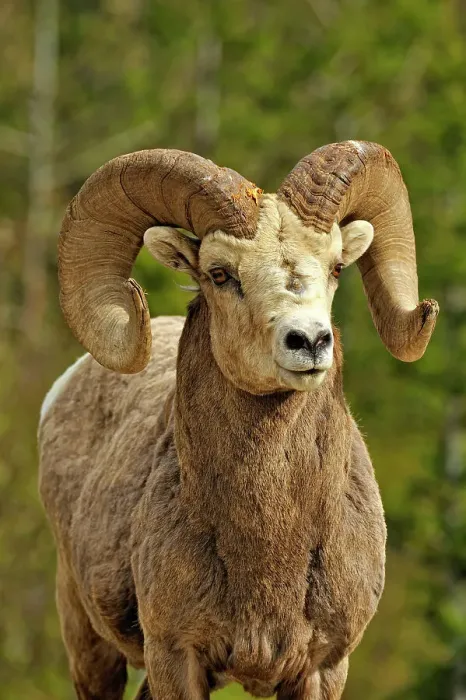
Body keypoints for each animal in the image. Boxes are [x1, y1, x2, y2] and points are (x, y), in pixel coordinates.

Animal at [39, 141, 439, 700]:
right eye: (221, 274)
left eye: (337, 267)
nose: (310, 340)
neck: (269, 551)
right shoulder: (175, 656)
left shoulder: (323, 667)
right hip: (87, 641)